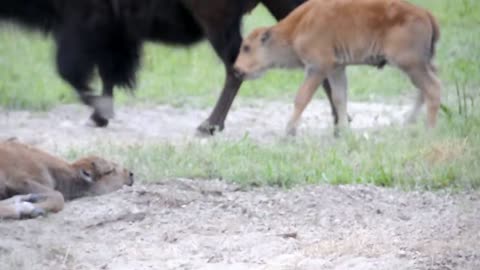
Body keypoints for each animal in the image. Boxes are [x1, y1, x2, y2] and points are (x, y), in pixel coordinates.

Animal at [0, 0, 338, 134]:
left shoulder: (81, 24)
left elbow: (69, 70)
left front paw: (101, 111)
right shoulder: (114, 35)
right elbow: (109, 72)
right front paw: (100, 116)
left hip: (216, 22)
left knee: (233, 66)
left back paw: (209, 125)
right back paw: (338, 122)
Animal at [234, 0, 440, 135]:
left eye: (247, 47)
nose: (236, 70)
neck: (296, 29)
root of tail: (426, 13)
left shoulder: (317, 68)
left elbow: (302, 98)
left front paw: (288, 132)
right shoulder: (336, 68)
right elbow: (340, 98)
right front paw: (343, 132)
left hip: (410, 65)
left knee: (432, 88)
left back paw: (429, 130)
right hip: (420, 65)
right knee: (427, 87)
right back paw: (408, 123)